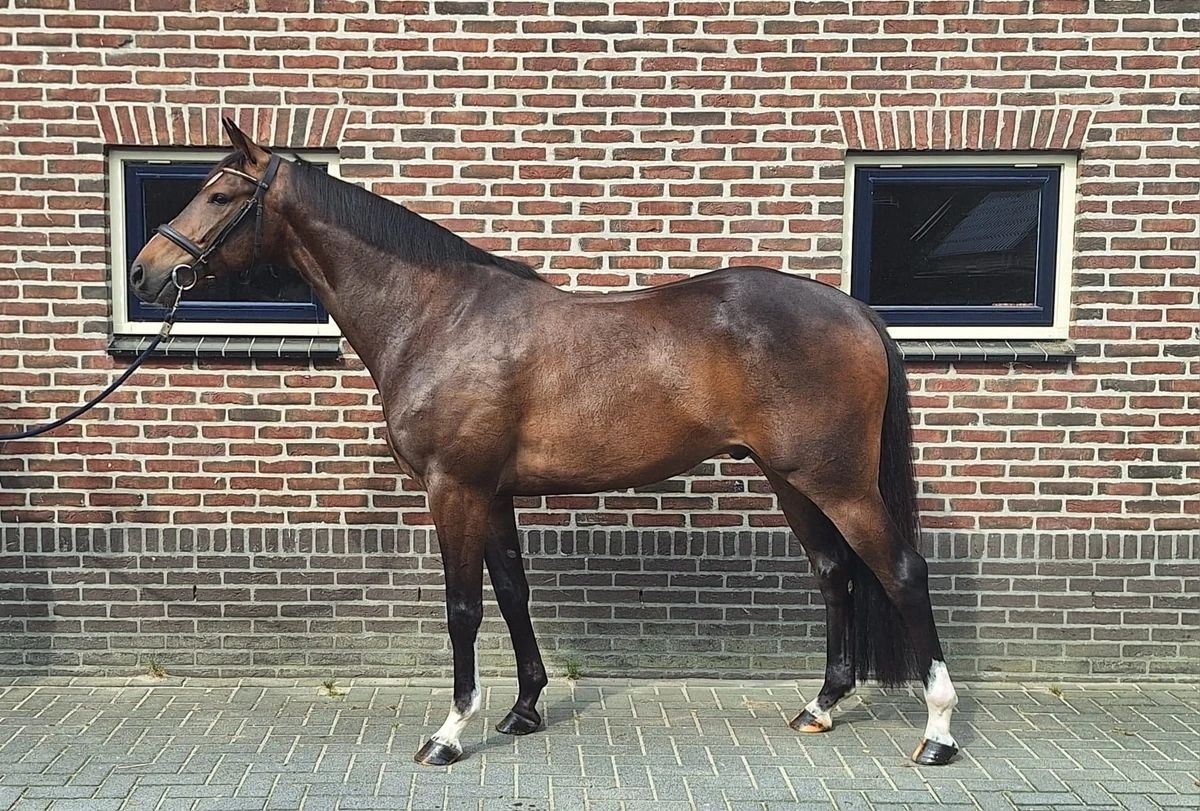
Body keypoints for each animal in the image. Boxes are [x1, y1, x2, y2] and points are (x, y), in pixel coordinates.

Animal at [128, 117, 960, 768]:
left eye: (221, 195)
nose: (145, 273)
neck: (436, 315)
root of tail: (854, 310)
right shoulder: (493, 492)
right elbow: (512, 592)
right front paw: (524, 710)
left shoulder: (454, 488)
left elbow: (463, 606)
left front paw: (450, 731)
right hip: (792, 479)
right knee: (834, 573)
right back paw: (821, 705)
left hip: (838, 482)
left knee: (902, 571)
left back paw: (938, 732)